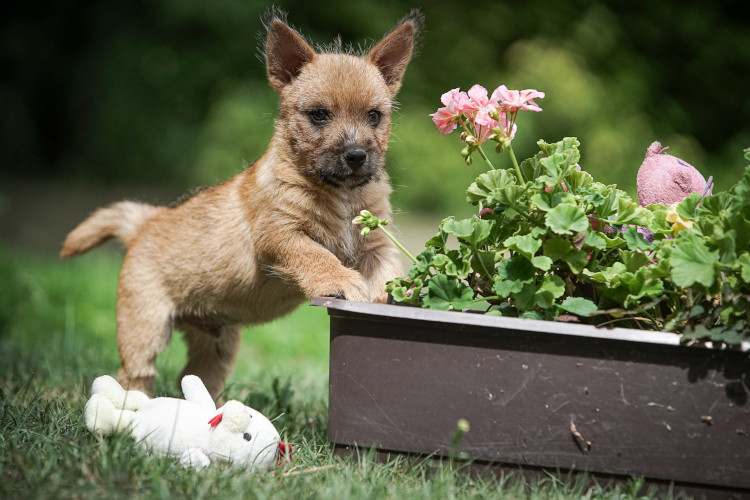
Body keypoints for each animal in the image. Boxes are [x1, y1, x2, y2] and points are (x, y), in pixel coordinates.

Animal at [60, 10, 424, 402]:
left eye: (374, 116)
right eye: (319, 115)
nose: (356, 155)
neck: (337, 193)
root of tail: (147, 221)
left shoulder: (375, 246)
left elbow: (387, 271)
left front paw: (405, 293)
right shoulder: (281, 235)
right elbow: (316, 255)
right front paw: (339, 280)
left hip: (217, 340)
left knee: (194, 377)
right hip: (144, 324)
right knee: (135, 374)